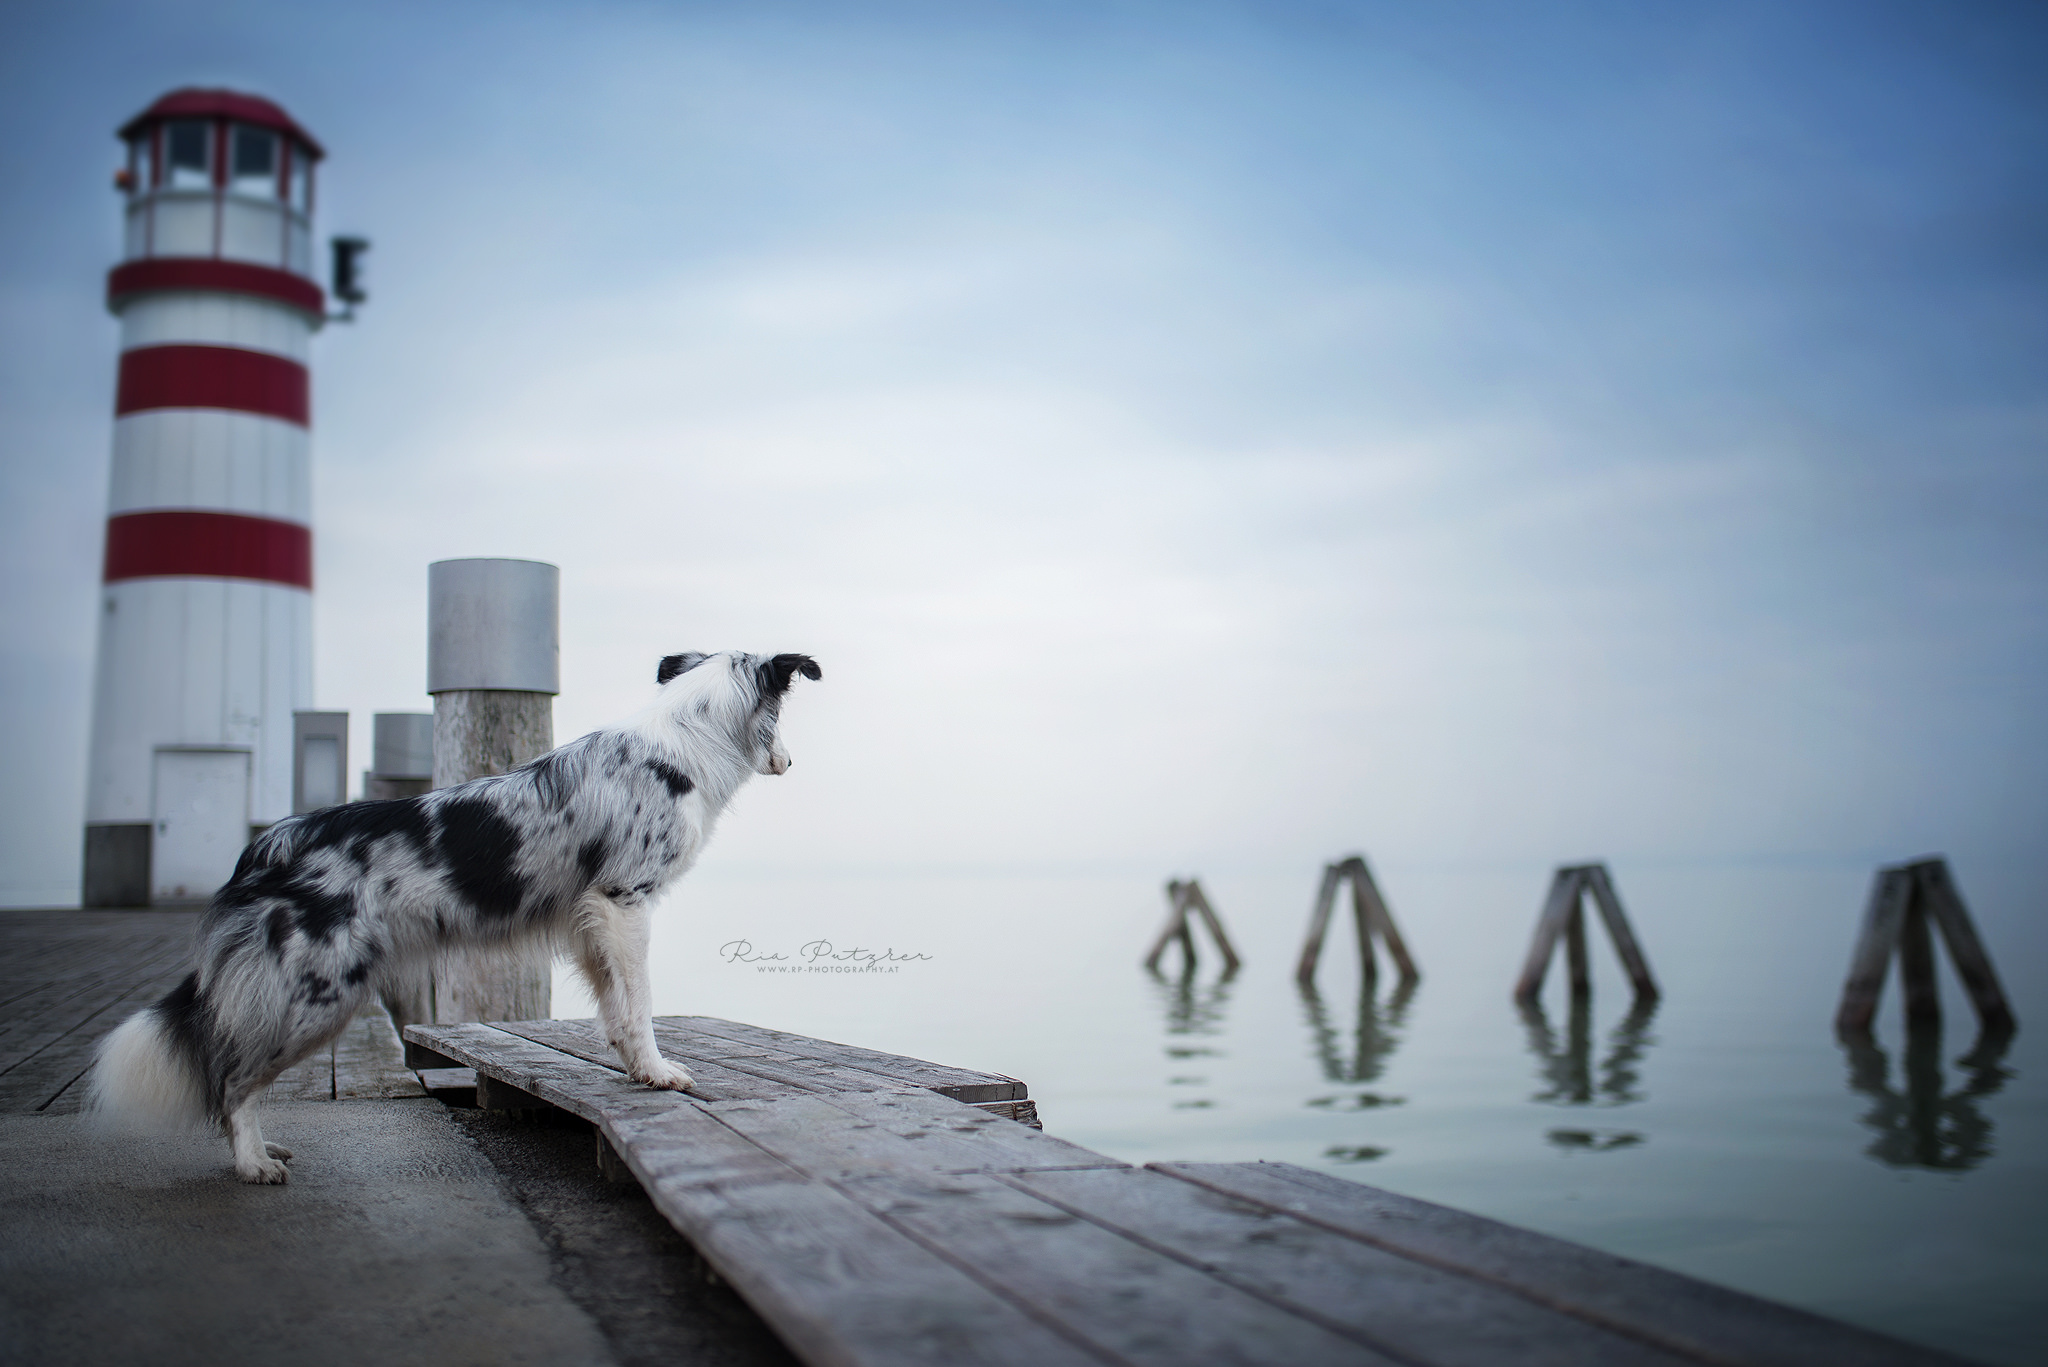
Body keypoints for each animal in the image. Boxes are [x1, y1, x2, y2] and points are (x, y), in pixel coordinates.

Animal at [92, 651, 819, 1180]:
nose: (791, 761)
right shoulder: (625, 900)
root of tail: (265, 848)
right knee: (232, 1080)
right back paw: (252, 1163)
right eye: (783, 720)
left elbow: (615, 1007)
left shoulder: (590, 917)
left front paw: (637, 1070)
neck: (682, 746)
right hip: (316, 993)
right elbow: (639, 1001)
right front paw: (663, 1073)